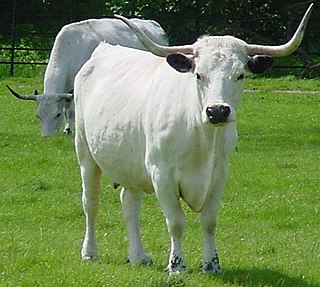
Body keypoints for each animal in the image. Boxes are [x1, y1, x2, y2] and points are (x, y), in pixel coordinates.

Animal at [6, 18, 169, 137]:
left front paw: (68, 129)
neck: (70, 48)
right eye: (38, 115)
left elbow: (70, 111)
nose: (47, 137)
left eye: (56, 115)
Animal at [73, 3, 312, 274]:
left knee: (129, 204)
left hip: (131, 165)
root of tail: (103, 50)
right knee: (91, 202)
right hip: (86, 154)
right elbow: (176, 222)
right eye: (198, 75)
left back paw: (139, 256)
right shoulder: (161, 174)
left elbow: (209, 221)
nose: (217, 111)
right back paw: (90, 252)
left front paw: (211, 264)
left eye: (240, 75)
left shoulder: (219, 175)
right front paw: (176, 265)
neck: (201, 137)